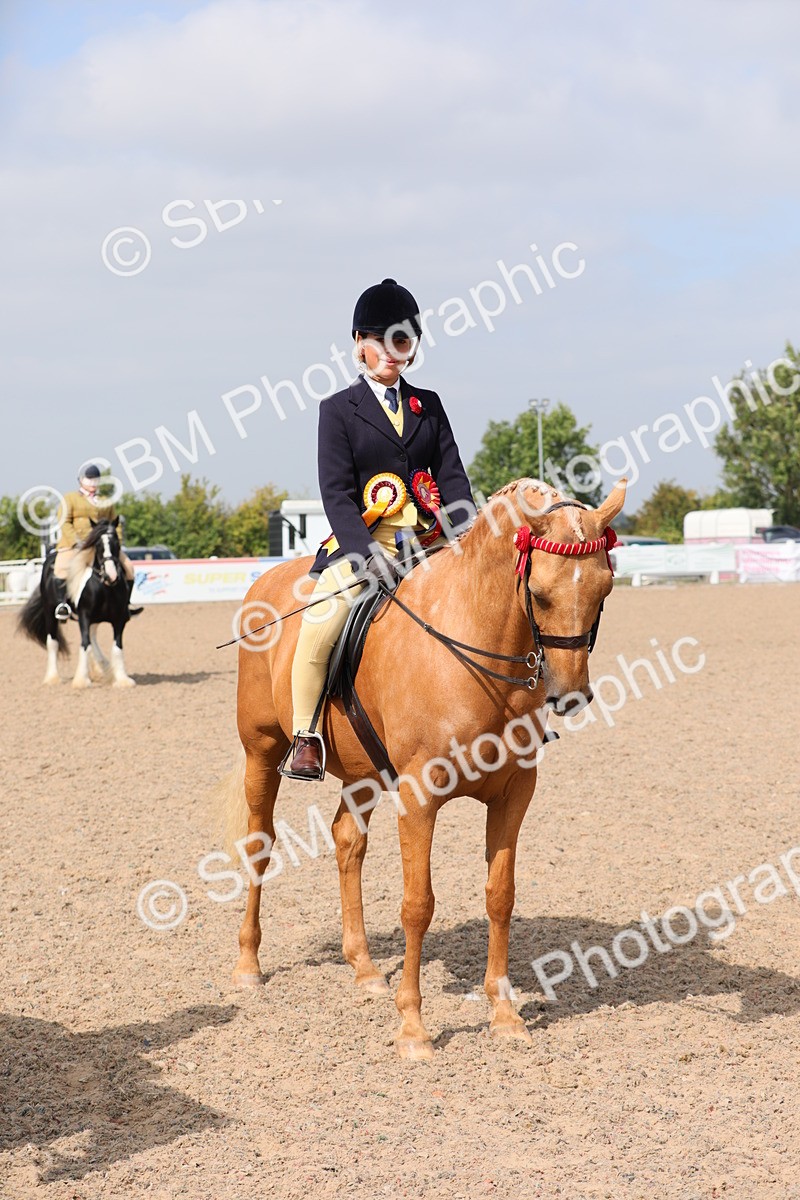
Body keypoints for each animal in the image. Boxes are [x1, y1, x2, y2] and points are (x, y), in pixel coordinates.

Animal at [17, 518, 136, 689]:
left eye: (117, 543)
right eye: (97, 544)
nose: (111, 576)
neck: (104, 587)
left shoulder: (118, 619)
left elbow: (117, 647)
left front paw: (122, 680)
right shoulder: (85, 616)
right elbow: (85, 645)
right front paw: (82, 680)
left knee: (92, 637)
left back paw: (102, 667)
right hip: (50, 613)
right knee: (53, 643)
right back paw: (52, 678)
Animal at [224, 477, 626, 1059]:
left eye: (604, 589)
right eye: (540, 593)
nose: (569, 695)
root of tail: (267, 578)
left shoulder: (514, 794)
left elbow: (500, 896)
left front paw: (504, 1015)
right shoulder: (418, 797)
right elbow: (418, 905)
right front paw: (413, 1029)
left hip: (363, 771)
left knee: (348, 842)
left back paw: (365, 969)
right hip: (261, 749)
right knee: (260, 844)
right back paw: (248, 965)